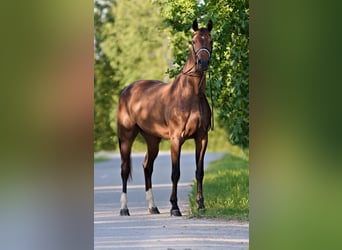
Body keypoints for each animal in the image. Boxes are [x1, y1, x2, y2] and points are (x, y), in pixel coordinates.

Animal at [117, 18, 212, 216]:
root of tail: (126, 90)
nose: (203, 62)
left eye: (211, 40)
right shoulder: (176, 139)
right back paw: (124, 209)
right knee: (124, 170)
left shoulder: (202, 138)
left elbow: (199, 172)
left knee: (147, 167)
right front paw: (174, 207)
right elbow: (175, 173)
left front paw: (201, 205)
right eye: (193, 41)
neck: (191, 95)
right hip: (126, 137)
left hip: (152, 139)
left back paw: (153, 207)